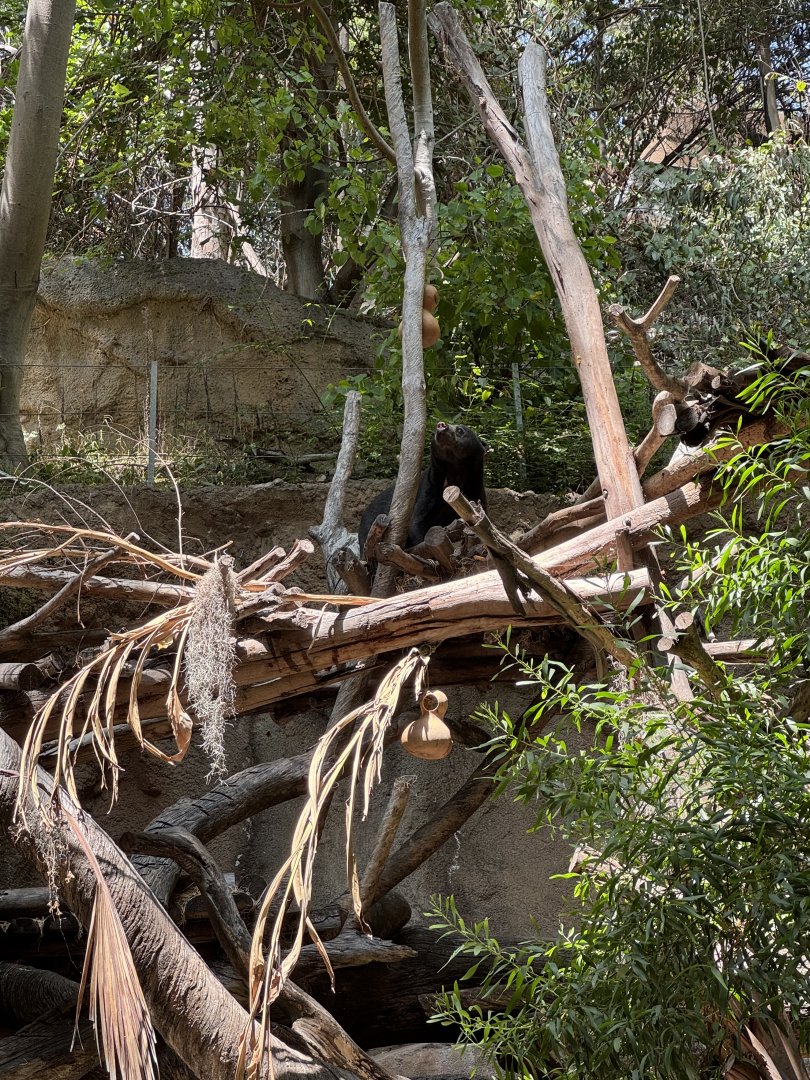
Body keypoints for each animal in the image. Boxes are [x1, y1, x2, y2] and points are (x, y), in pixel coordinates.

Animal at [358, 421, 488, 552]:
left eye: (460, 430)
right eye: (434, 432)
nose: (441, 425)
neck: (454, 473)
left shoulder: (474, 489)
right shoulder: (430, 487)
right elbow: (417, 521)